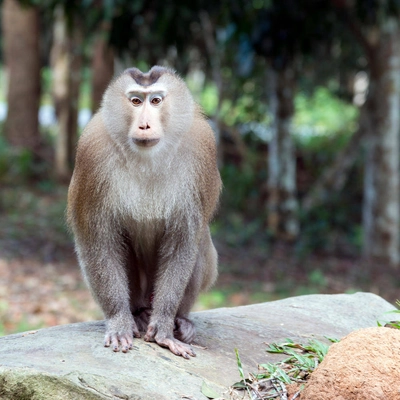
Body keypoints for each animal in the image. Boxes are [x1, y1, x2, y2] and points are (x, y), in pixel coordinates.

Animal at [66, 65, 222, 360]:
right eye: (136, 101)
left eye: (156, 100)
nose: (145, 125)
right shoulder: (92, 154)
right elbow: (98, 242)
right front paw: (119, 320)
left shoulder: (201, 150)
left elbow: (184, 241)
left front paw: (163, 328)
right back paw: (137, 314)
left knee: (199, 244)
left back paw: (180, 320)